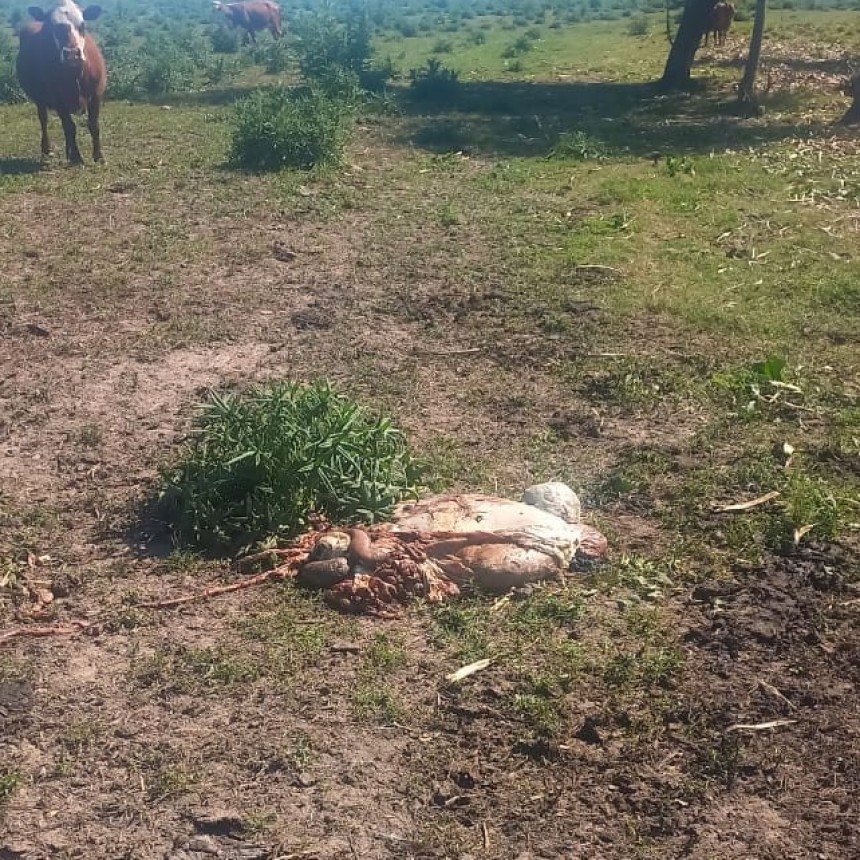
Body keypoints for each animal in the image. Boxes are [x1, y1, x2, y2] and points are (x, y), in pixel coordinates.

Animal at [15, 2, 106, 165]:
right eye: (52, 26)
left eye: (82, 25)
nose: (72, 53)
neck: (74, 74)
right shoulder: (58, 100)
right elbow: (70, 127)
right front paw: (76, 157)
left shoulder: (97, 94)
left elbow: (93, 125)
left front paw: (99, 156)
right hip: (39, 99)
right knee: (44, 120)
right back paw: (47, 150)